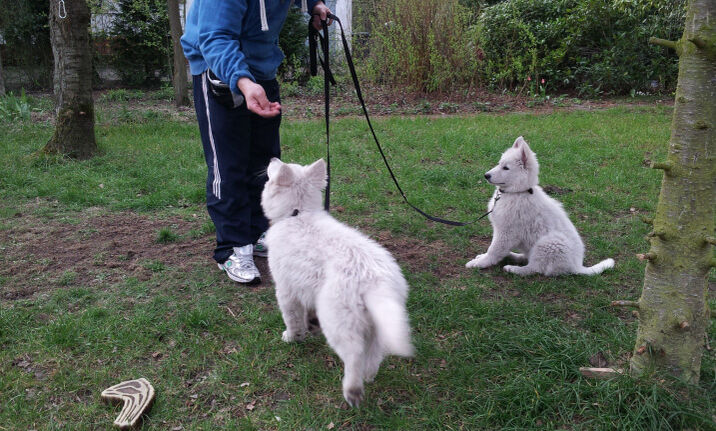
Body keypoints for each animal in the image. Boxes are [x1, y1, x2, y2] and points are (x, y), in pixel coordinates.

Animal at [262, 158, 414, 408]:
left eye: (274, 171)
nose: (273, 159)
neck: (298, 214)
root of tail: (374, 282)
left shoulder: (285, 290)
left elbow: (292, 319)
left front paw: (292, 337)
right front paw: (309, 326)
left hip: (337, 320)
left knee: (353, 355)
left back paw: (352, 390)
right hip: (378, 321)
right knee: (374, 354)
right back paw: (368, 376)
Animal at [464, 137, 616, 276]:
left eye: (506, 168)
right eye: (499, 164)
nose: (486, 175)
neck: (518, 192)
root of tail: (577, 266)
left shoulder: (506, 232)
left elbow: (494, 250)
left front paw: (480, 263)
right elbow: (494, 248)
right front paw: (482, 257)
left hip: (548, 244)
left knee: (535, 268)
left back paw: (514, 269)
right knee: (528, 259)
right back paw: (512, 256)